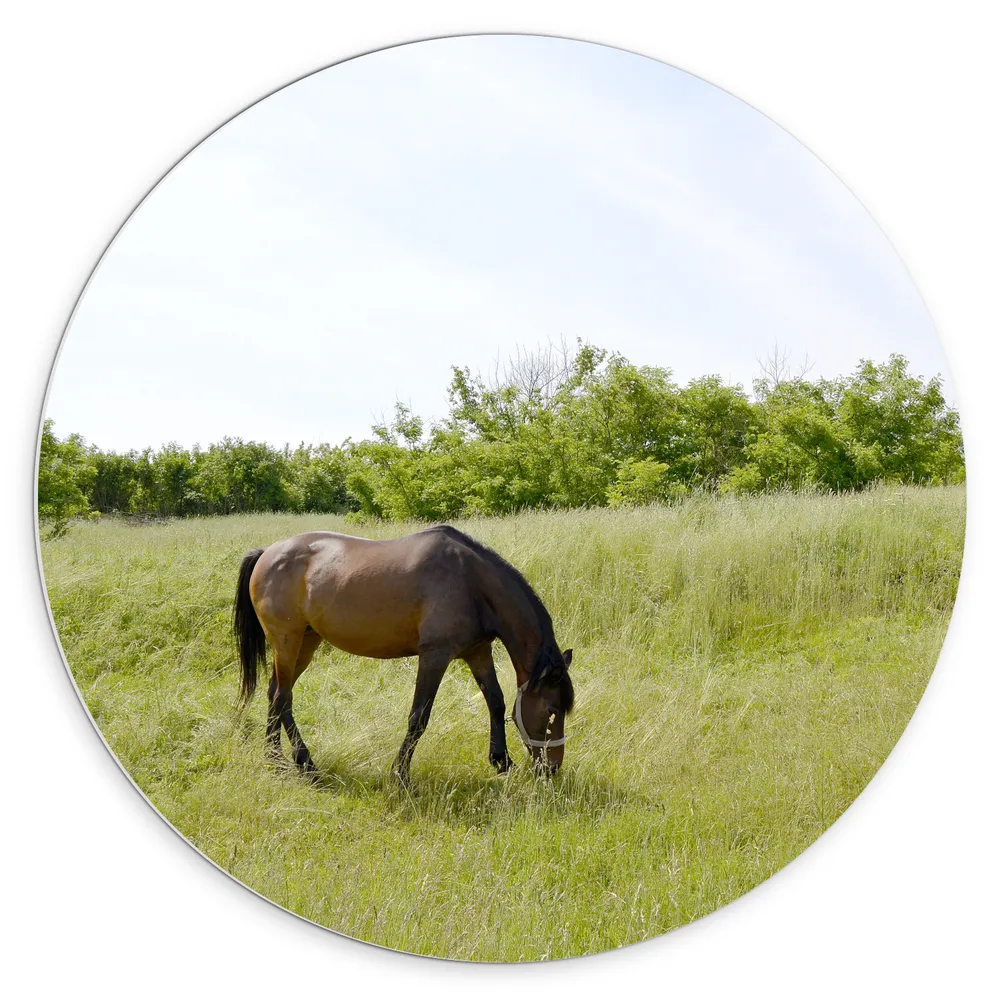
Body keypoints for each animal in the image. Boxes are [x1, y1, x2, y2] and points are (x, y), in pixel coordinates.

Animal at [232, 524, 574, 783]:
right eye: (552, 710)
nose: (552, 767)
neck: (472, 583)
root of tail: (267, 552)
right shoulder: (435, 656)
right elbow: (418, 717)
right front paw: (400, 774)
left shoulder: (478, 652)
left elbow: (496, 701)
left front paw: (502, 761)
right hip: (286, 641)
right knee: (282, 697)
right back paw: (299, 763)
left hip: (305, 642)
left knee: (276, 692)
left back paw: (282, 759)